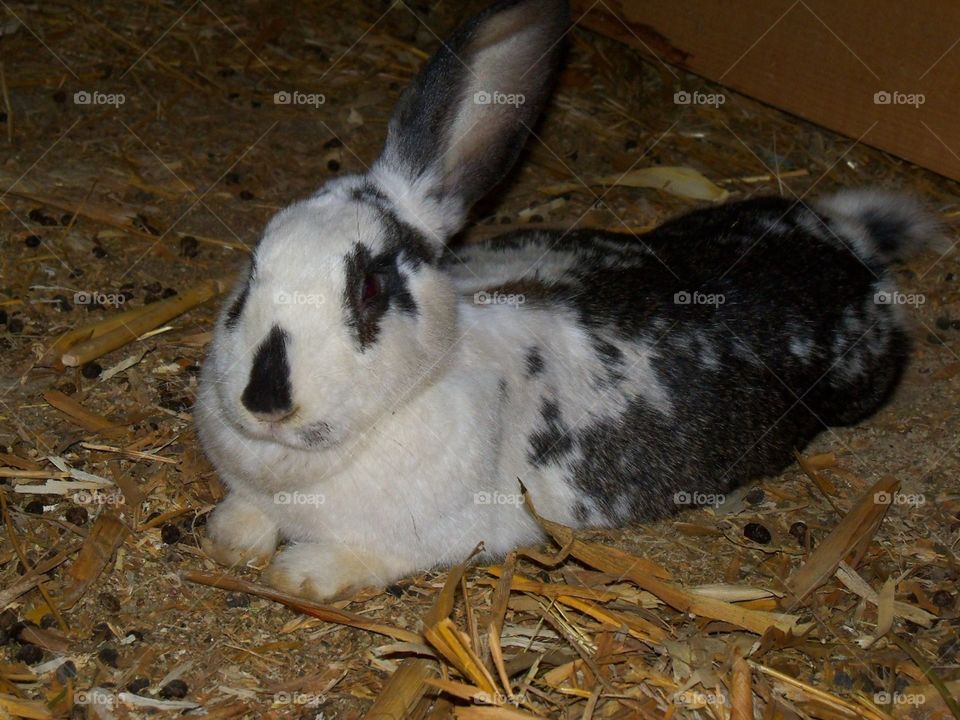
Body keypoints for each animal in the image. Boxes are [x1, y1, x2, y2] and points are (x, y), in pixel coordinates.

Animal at [196, 0, 940, 601]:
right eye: (252, 271)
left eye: (369, 289)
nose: (265, 400)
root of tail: (849, 240)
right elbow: (247, 514)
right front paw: (229, 537)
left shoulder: (427, 534)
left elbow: (360, 556)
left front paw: (301, 575)